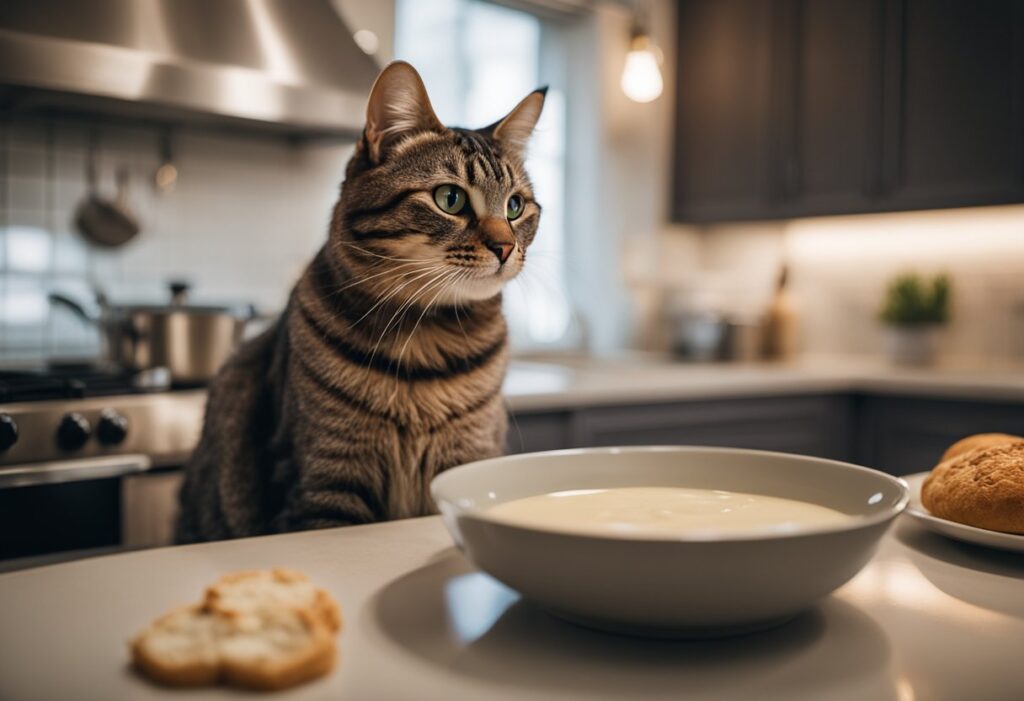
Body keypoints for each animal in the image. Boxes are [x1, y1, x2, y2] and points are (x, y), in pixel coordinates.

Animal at [176, 62, 544, 540]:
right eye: (450, 199)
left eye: (516, 206)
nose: (505, 247)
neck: (427, 343)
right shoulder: (326, 482)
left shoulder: (466, 456)